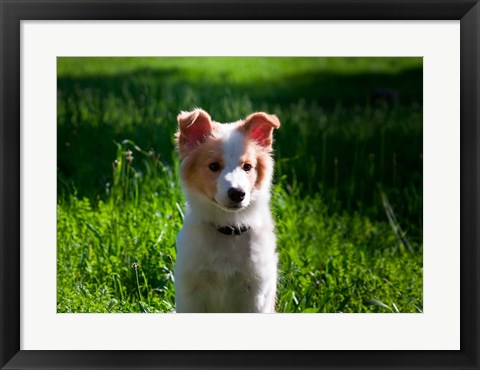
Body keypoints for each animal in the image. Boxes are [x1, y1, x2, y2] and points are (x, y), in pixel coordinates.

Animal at [173, 107, 280, 312]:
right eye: (214, 166)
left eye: (247, 167)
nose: (238, 193)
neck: (228, 227)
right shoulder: (190, 290)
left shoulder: (257, 293)